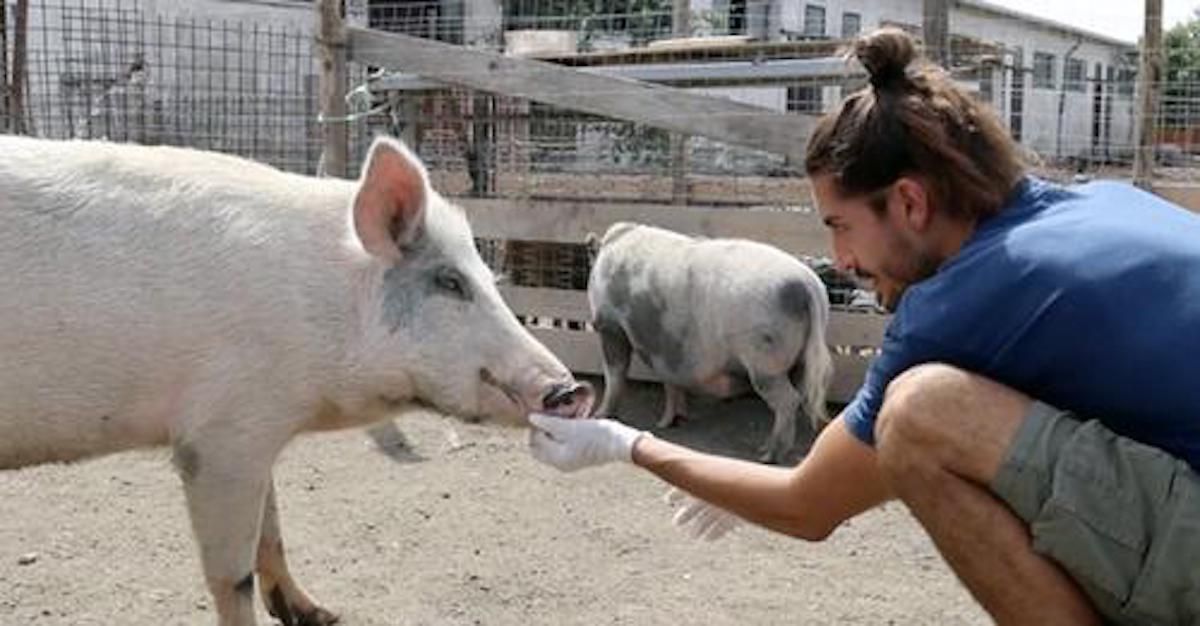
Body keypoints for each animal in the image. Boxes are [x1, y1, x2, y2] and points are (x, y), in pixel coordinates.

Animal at [0, 134, 590, 623]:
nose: (572, 390)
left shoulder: (257, 437)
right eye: (450, 282)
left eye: (487, 278)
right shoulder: (219, 438)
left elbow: (273, 533)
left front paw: (323, 615)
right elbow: (232, 575)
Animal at [585, 220, 830, 462]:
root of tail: (808, 286)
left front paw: (601, 415)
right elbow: (669, 383)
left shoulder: (610, 326)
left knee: (787, 401)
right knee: (798, 397)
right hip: (799, 360)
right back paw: (766, 449)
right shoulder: (665, 348)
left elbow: (615, 373)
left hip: (764, 361)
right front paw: (668, 422)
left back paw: (768, 456)